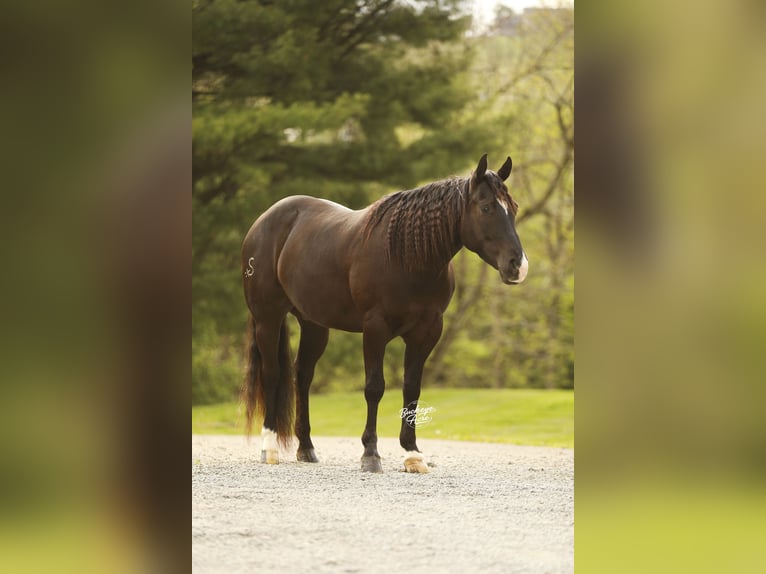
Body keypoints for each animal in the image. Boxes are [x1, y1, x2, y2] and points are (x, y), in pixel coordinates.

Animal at [241, 154, 528, 473]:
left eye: (513, 207)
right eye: (486, 207)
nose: (517, 266)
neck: (408, 256)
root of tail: (265, 220)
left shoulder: (426, 333)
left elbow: (412, 389)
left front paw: (412, 454)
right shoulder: (375, 328)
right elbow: (374, 387)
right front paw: (370, 453)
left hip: (314, 325)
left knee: (302, 376)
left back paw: (306, 448)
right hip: (268, 319)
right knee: (272, 373)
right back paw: (269, 448)